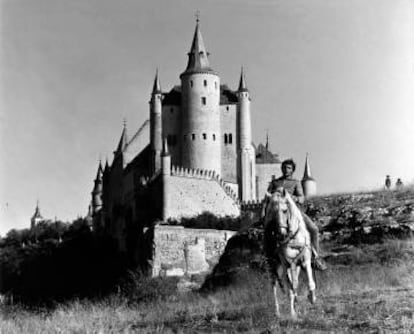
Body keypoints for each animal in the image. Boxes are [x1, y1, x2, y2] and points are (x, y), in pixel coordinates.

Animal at [264, 188, 316, 318]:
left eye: (285, 210)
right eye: (272, 213)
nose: (280, 234)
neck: (292, 238)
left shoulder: (305, 259)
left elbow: (308, 281)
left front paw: (312, 298)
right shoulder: (286, 263)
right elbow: (290, 290)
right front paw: (292, 313)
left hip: (295, 266)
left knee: (293, 282)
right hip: (274, 267)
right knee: (275, 287)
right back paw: (277, 312)